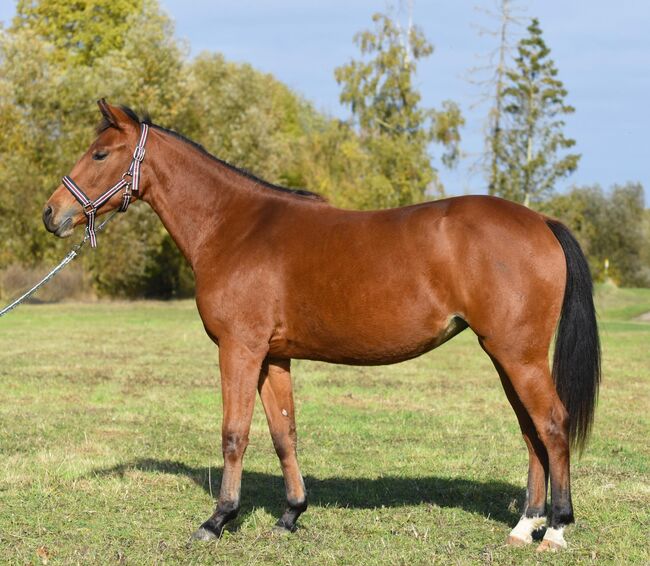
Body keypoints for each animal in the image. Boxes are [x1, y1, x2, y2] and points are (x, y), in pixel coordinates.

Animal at [43, 100, 600, 552]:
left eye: (99, 154)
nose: (53, 213)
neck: (234, 227)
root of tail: (541, 221)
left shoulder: (239, 349)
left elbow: (234, 434)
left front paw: (218, 520)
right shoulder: (273, 356)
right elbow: (283, 432)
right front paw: (290, 515)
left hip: (518, 355)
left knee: (552, 425)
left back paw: (555, 528)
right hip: (505, 356)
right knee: (531, 431)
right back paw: (524, 526)